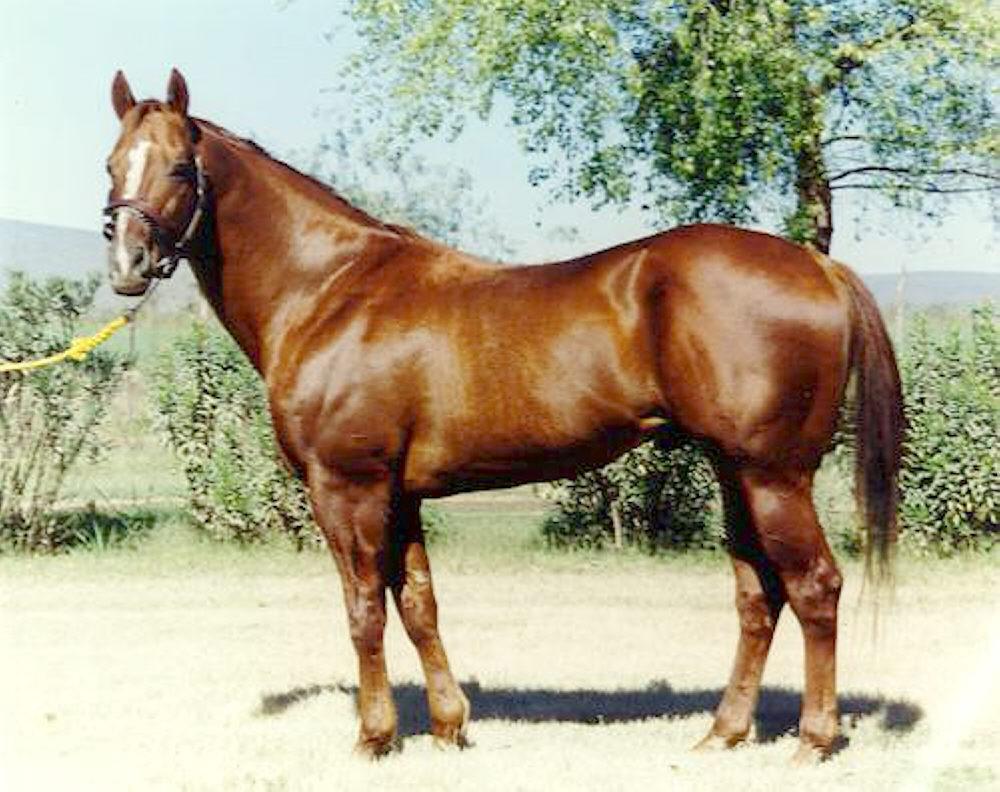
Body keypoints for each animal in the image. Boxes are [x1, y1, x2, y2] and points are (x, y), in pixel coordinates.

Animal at [103, 69, 903, 764]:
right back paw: (724, 733)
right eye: (112, 164)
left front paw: (374, 737)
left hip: (774, 475)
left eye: (180, 169)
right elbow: (418, 603)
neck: (329, 289)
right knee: (758, 594)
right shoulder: (400, 495)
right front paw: (448, 727)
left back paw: (813, 740)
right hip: (736, 472)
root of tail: (818, 266)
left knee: (815, 587)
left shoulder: (347, 487)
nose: (127, 264)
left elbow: (364, 608)